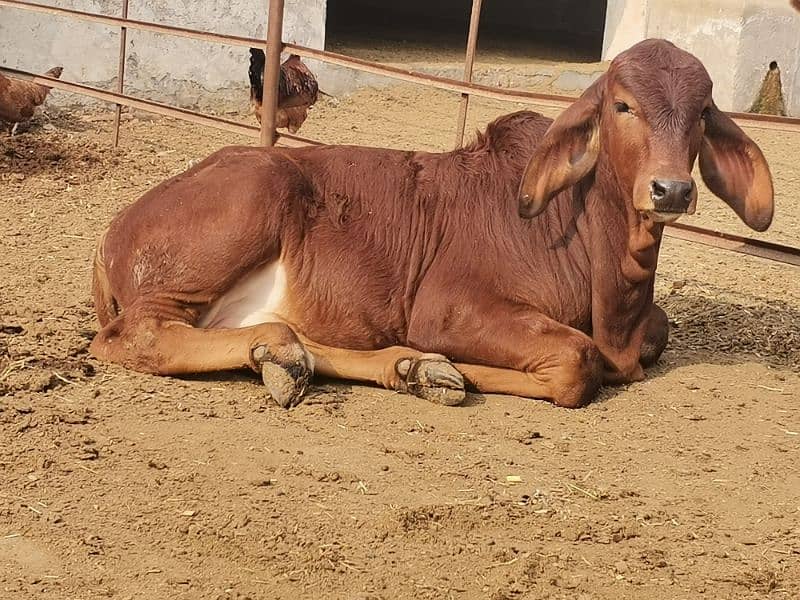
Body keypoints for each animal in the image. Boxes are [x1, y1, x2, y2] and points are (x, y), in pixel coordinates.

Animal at [90, 39, 772, 408]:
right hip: (250, 203)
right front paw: (464, 367)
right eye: (623, 106)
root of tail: (113, 234)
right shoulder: (445, 309)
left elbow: (654, 332)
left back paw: (398, 368)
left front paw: (429, 368)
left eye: (702, 113)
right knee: (133, 337)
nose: (671, 189)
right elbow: (579, 362)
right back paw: (295, 353)